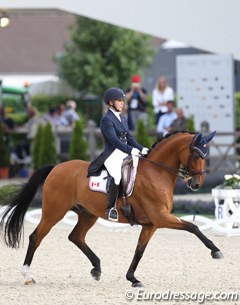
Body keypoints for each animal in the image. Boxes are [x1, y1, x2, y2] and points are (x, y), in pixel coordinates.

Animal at [0, 131, 224, 284]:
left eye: (205, 155)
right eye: (196, 154)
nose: (196, 184)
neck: (157, 172)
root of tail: (56, 167)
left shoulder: (151, 224)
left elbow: (139, 251)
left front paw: (132, 278)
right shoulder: (161, 218)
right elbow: (193, 227)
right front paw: (216, 251)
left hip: (87, 214)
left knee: (76, 237)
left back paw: (97, 268)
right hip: (54, 211)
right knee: (36, 237)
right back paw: (27, 275)